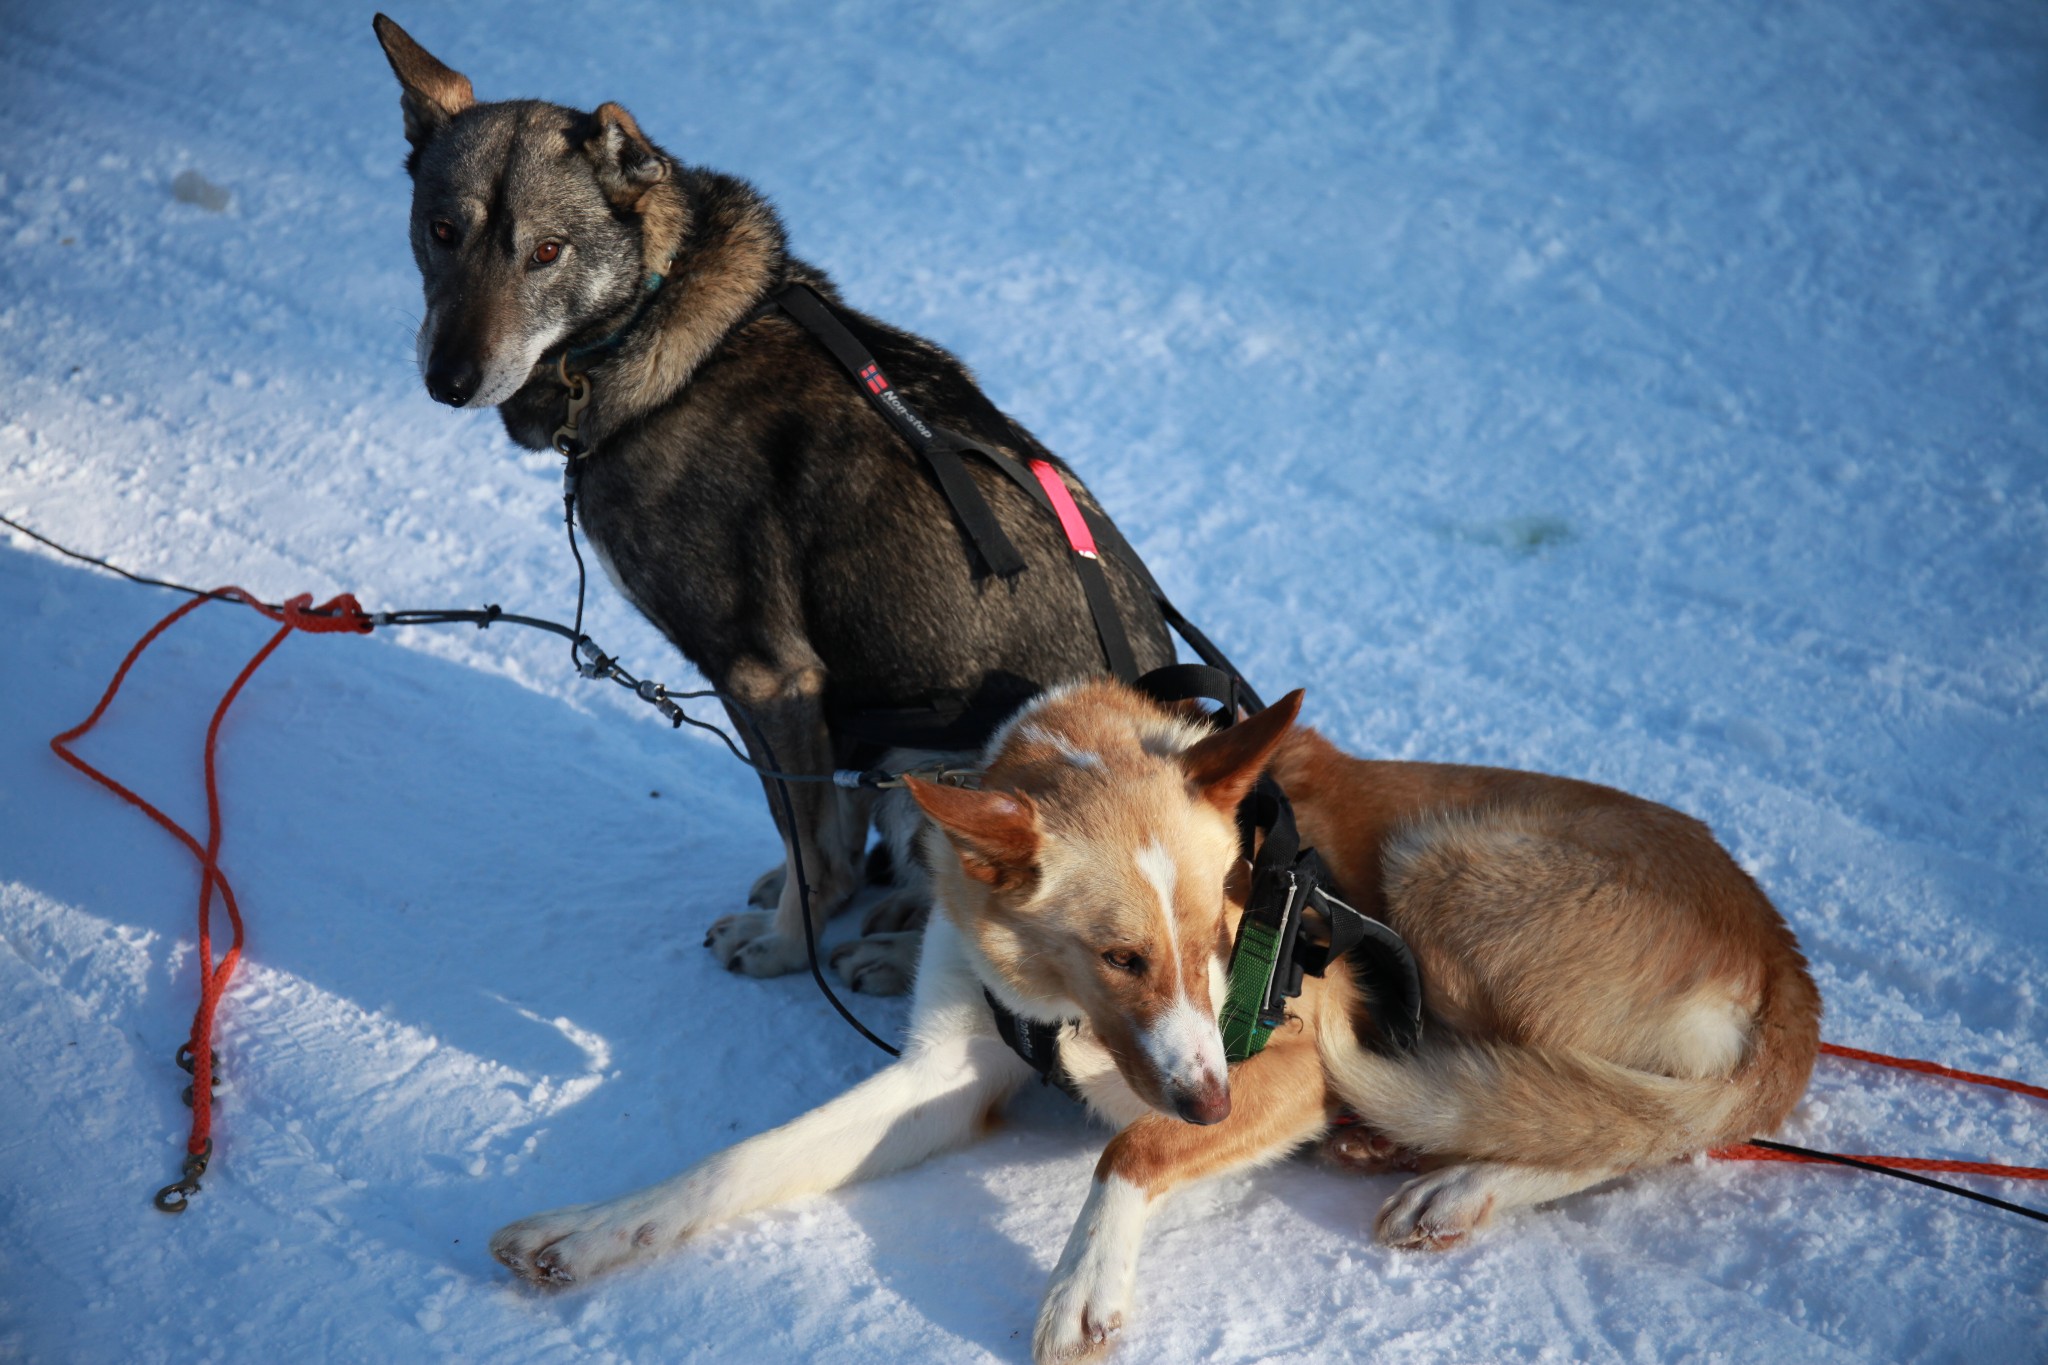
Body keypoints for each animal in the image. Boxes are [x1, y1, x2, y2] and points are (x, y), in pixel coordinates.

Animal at [372, 13, 1171, 994]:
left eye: (548, 251)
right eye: (442, 230)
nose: (448, 380)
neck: (650, 325)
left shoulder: (769, 678)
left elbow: (815, 853)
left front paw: (791, 948)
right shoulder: (821, 707)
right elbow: (828, 829)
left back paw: (897, 950)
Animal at [487, 687, 1818, 1358]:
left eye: (1226, 937)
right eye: (1122, 955)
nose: (1209, 1103)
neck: (1055, 1004)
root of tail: (1779, 958)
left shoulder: (1286, 1070)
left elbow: (1128, 1144)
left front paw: (1084, 1280)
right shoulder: (940, 1078)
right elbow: (737, 1163)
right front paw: (593, 1231)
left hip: (1448, 865)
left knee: (1620, 1129)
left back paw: (1459, 1180)